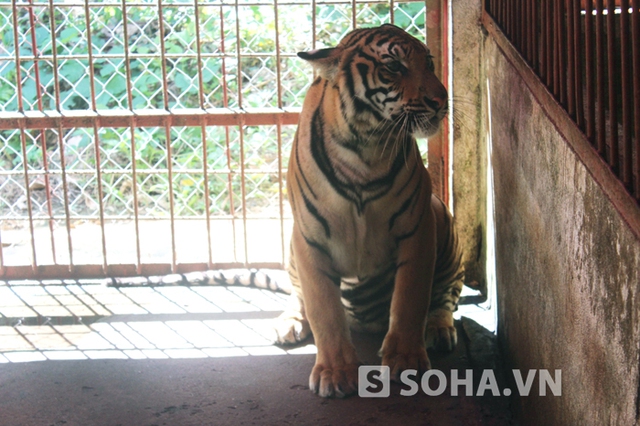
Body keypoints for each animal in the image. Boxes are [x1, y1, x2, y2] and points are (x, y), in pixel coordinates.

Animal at [272, 25, 462, 400]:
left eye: (430, 62)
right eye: (394, 67)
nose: (440, 101)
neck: (365, 146)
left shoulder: (417, 229)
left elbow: (409, 300)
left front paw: (406, 362)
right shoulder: (309, 239)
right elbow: (324, 309)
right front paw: (335, 373)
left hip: (442, 224)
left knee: (446, 294)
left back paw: (438, 329)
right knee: (299, 296)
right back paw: (289, 324)